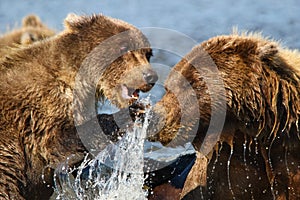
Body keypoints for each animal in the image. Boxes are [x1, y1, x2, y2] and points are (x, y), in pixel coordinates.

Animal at [0, 13, 158, 199]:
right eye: (124, 48)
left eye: (148, 54)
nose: (151, 76)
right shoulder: (40, 108)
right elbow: (58, 143)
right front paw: (129, 113)